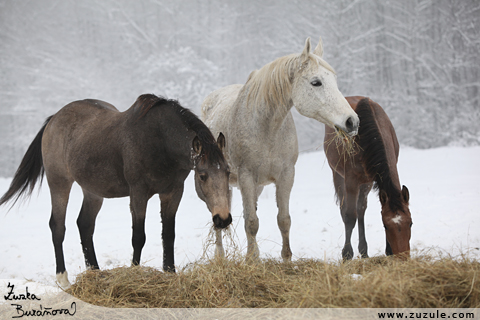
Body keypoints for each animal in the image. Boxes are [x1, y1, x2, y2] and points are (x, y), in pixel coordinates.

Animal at [0, 93, 232, 288]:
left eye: (228, 171)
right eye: (202, 175)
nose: (223, 219)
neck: (159, 141)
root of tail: (54, 119)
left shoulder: (173, 192)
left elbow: (168, 235)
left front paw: (170, 273)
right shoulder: (138, 193)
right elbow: (138, 237)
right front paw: (134, 273)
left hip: (93, 191)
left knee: (85, 225)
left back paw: (95, 272)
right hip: (59, 183)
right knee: (57, 226)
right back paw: (63, 280)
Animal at [202, 37, 360, 262]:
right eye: (316, 82)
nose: (352, 121)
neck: (267, 127)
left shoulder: (286, 175)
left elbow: (283, 219)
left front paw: (286, 258)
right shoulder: (246, 176)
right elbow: (251, 222)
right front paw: (252, 260)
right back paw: (220, 257)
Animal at [324, 95, 410, 260]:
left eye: (410, 223)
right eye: (386, 226)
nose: (403, 257)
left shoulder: (371, 179)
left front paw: (388, 251)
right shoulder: (351, 180)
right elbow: (350, 216)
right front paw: (347, 253)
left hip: (365, 183)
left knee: (361, 210)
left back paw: (364, 250)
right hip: (338, 175)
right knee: (346, 210)